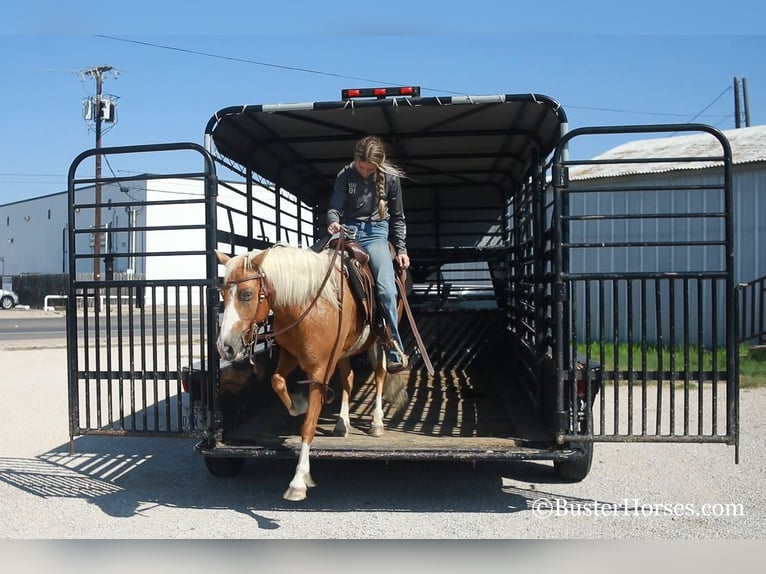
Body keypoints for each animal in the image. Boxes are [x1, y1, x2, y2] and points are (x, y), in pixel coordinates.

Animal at [213, 245, 412, 502]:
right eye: (223, 293)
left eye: (246, 294)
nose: (224, 347)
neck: (306, 304)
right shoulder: (290, 355)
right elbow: (277, 381)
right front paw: (298, 404)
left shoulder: (319, 370)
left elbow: (308, 425)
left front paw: (298, 480)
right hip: (344, 351)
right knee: (347, 379)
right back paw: (342, 423)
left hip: (380, 340)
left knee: (380, 374)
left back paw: (376, 422)